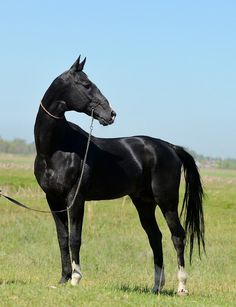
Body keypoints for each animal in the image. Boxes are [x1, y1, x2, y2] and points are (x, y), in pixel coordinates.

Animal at [33, 57, 205, 296]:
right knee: (155, 237)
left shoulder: (75, 199)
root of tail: (169, 147)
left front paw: (76, 278)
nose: (111, 114)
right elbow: (63, 238)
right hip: (144, 203)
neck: (56, 148)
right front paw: (63, 279)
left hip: (167, 202)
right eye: (86, 85)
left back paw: (181, 287)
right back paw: (156, 286)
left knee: (177, 236)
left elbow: (75, 238)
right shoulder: (53, 200)